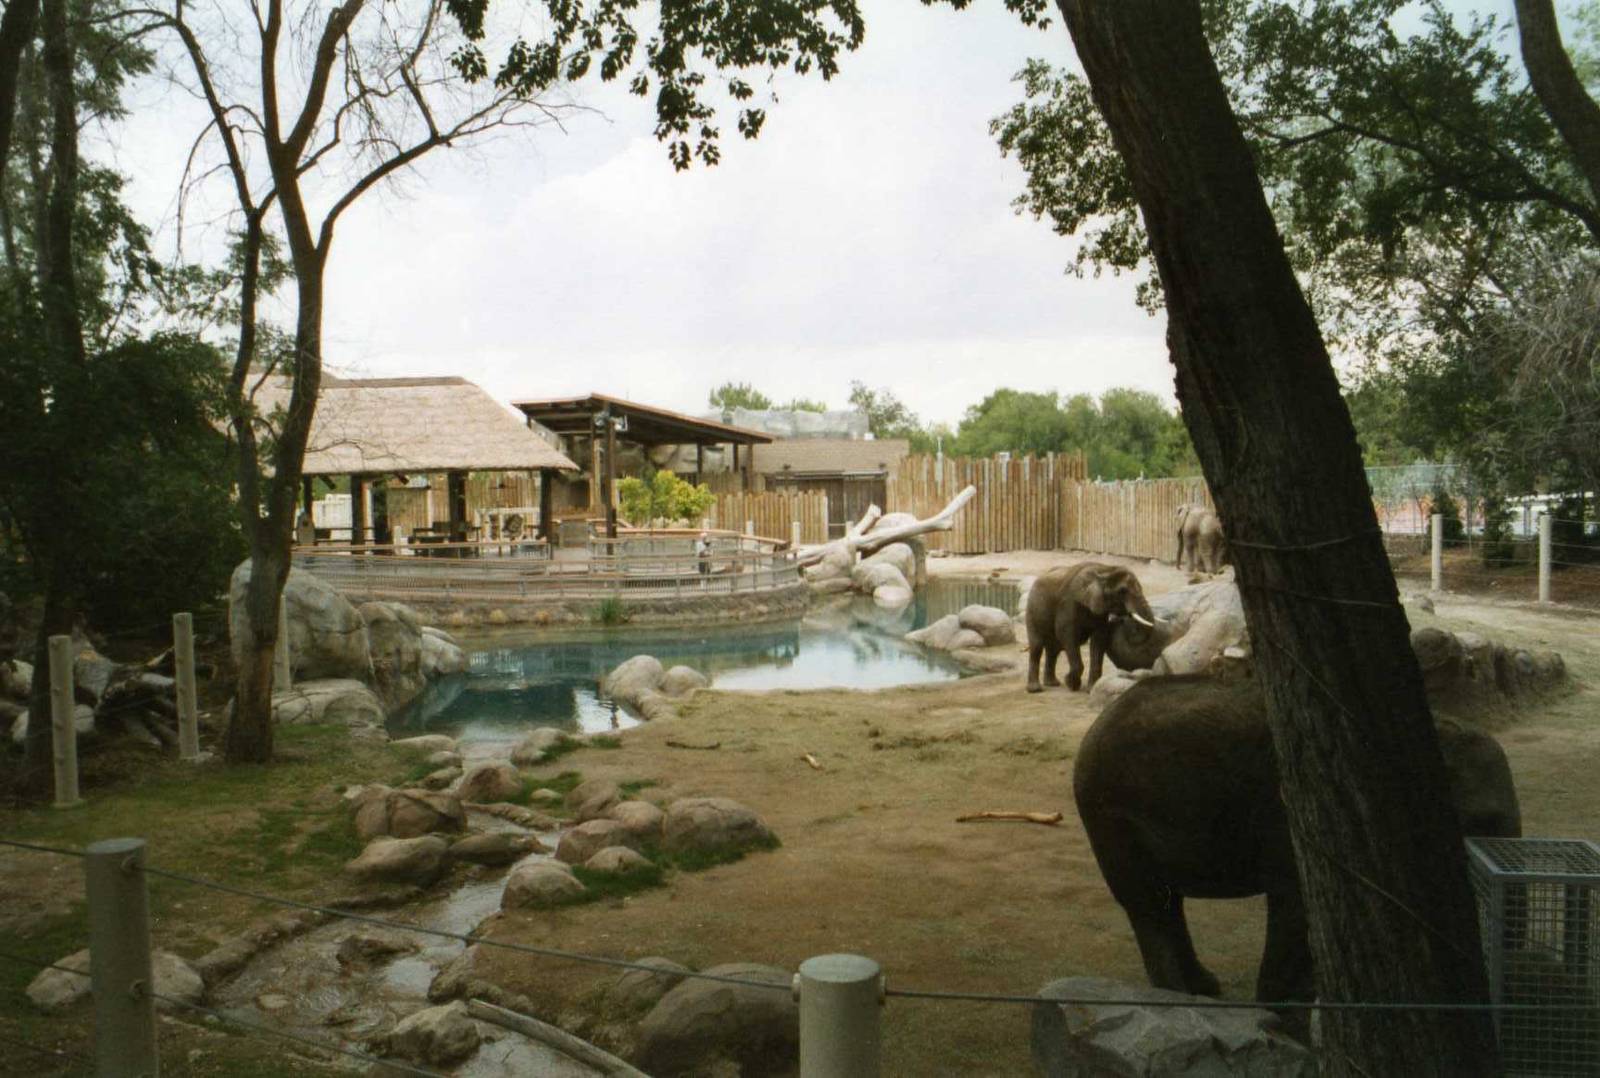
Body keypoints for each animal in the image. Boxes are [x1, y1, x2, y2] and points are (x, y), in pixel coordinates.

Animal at [1025, 562, 1156, 694]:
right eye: (1122, 591)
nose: (1120, 619)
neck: (1105, 570)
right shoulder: (1068, 603)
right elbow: (1067, 635)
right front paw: (1071, 684)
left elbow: (1098, 640)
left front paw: (1090, 689)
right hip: (1032, 610)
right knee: (1037, 646)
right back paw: (1035, 689)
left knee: (1054, 649)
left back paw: (1053, 683)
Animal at [1073, 675, 1521, 1036]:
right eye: (1485, 819)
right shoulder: (1295, 817)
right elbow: (1297, 904)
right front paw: (1286, 1029)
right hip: (1112, 818)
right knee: (1149, 905)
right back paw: (1178, 1000)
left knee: (1169, 901)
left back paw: (1204, 990)